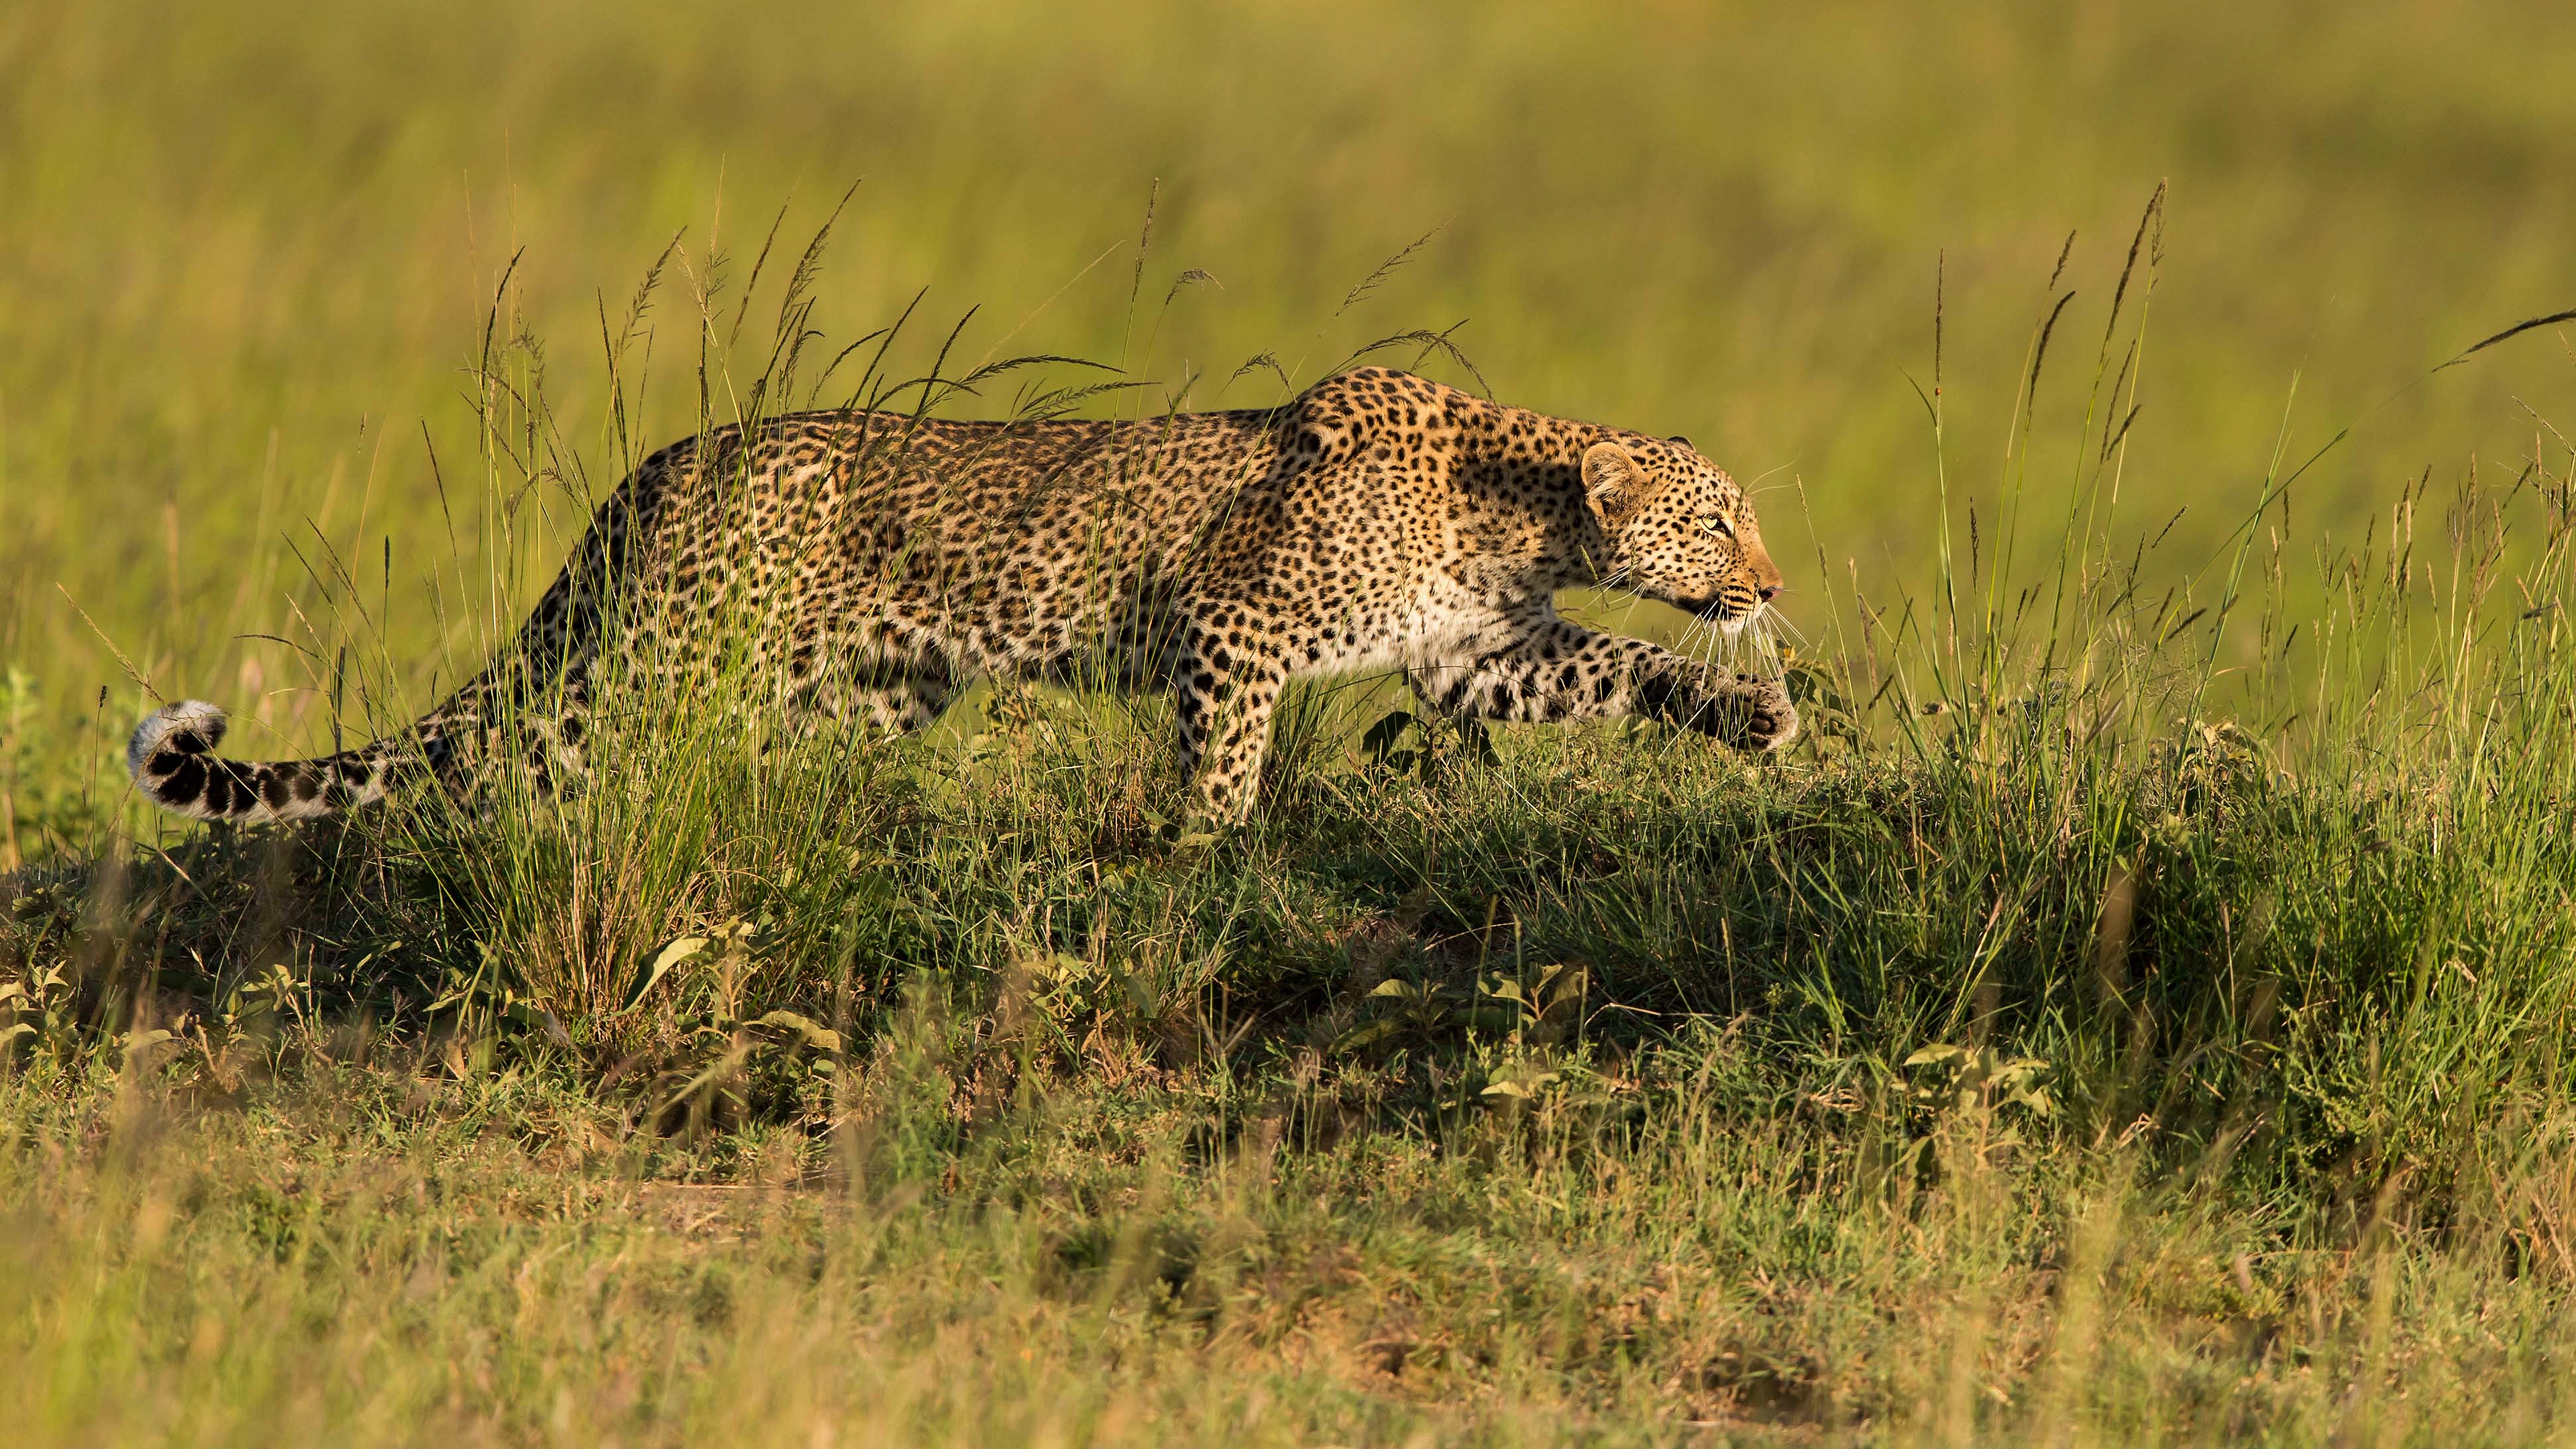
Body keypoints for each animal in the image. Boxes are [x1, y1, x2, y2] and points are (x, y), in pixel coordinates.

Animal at [125, 366, 1792, 824]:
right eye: (1720, 522)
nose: (1771, 577)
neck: (1520, 517)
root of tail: (666, 462)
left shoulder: (1471, 659)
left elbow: (1623, 672)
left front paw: (1754, 713)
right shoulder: (1235, 627)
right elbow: (1225, 763)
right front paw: (1205, 849)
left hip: (856, 693)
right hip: (658, 665)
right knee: (536, 766)